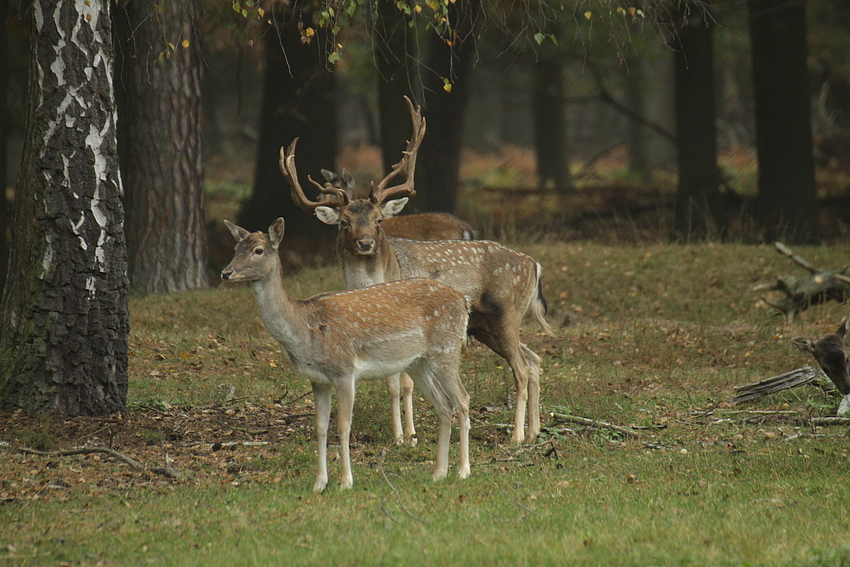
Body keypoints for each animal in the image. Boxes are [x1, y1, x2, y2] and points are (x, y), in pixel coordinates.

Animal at [219, 217, 470, 492]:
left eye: (259, 250)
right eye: (236, 248)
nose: (226, 272)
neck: (304, 328)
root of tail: (463, 300)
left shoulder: (344, 371)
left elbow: (343, 426)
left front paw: (346, 482)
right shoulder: (318, 379)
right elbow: (320, 427)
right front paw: (319, 483)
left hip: (446, 348)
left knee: (463, 399)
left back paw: (463, 471)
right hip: (418, 362)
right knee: (444, 405)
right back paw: (439, 473)